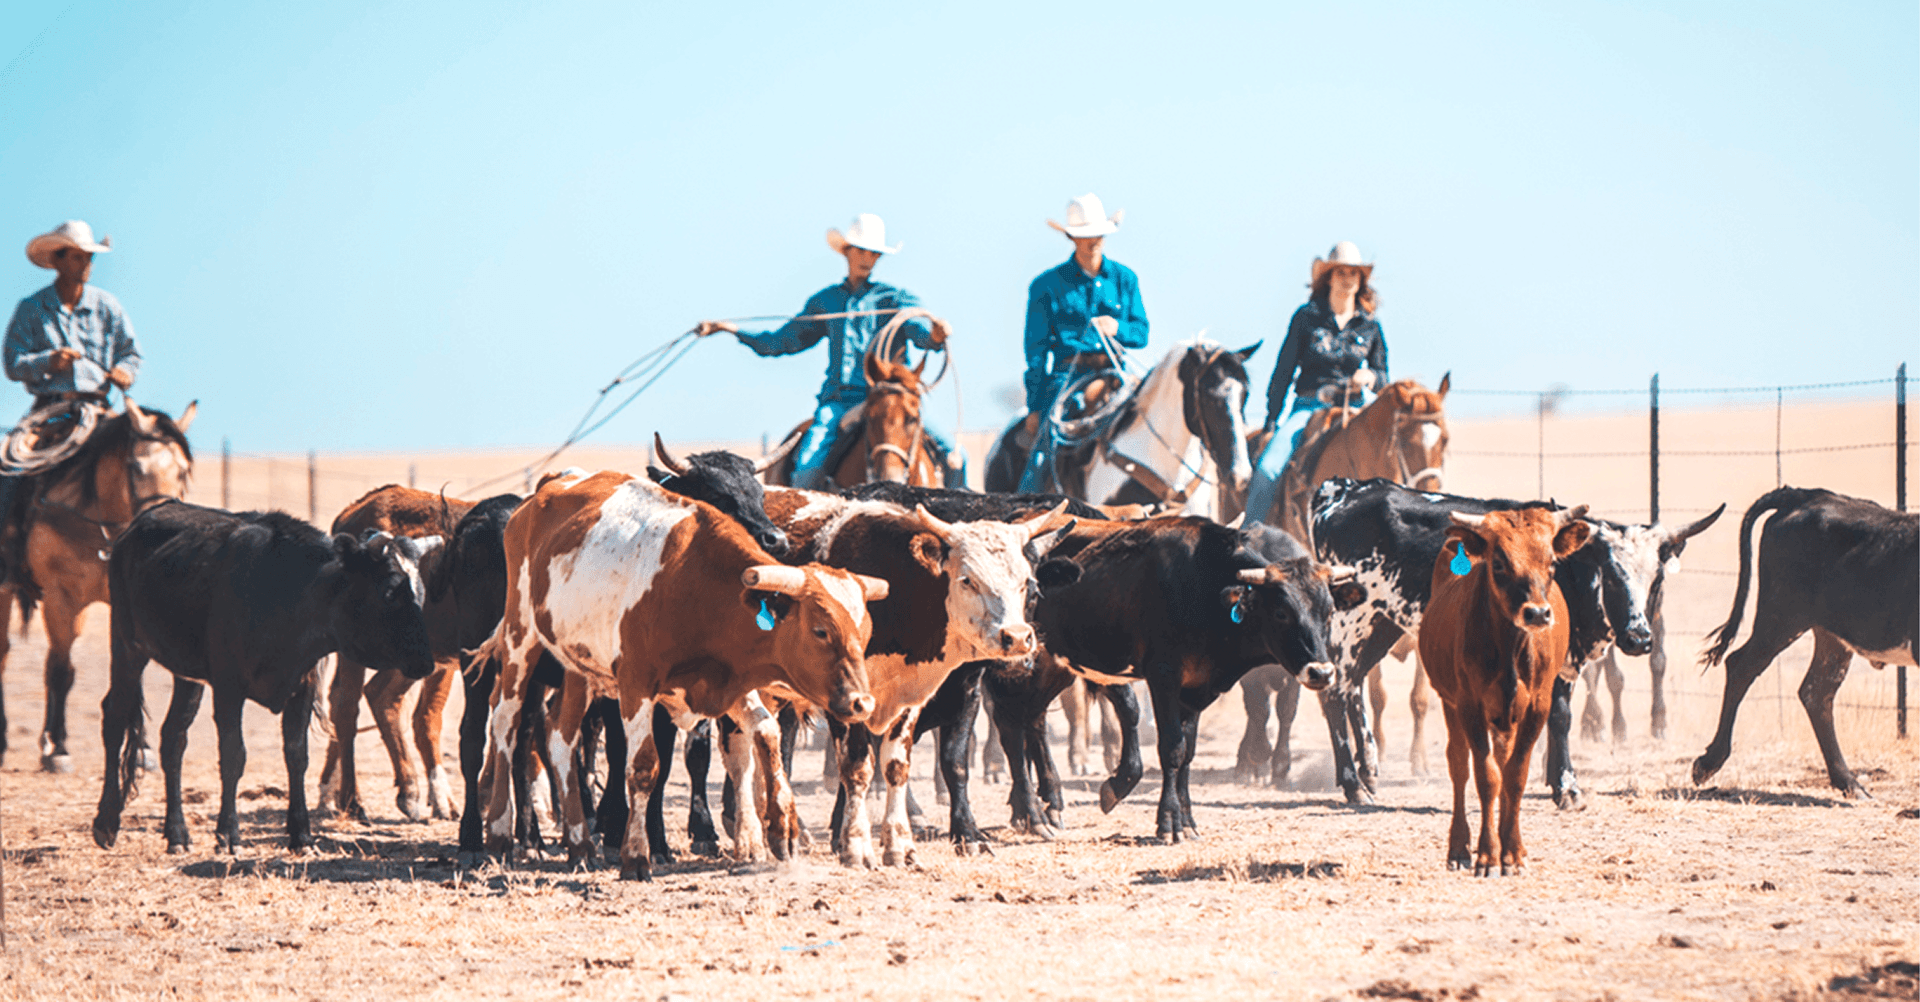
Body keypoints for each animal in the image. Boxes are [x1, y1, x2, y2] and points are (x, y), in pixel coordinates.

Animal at [92, 500, 437, 853]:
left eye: (421, 593)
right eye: (390, 592)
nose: (425, 663)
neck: (290, 595)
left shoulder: (303, 688)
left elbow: (297, 756)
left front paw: (301, 834)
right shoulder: (228, 688)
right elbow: (233, 755)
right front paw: (228, 833)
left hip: (186, 676)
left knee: (173, 738)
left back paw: (177, 834)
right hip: (127, 646)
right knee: (115, 718)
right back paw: (106, 823)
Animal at [473, 469, 888, 880]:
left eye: (865, 632)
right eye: (821, 630)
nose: (862, 703)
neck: (694, 586)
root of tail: (541, 494)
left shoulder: (729, 681)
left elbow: (767, 734)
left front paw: (782, 827)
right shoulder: (636, 685)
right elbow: (643, 768)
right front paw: (637, 856)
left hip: (576, 665)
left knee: (560, 737)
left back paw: (580, 845)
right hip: (521, 636)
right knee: (505, 723)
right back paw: (499, 837)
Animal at [1028, 515, 1345, 842]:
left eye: (1329, 612)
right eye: (1282, 612)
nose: (1321, 672)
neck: (1203, 589)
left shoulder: (1196, 690)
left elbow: (1188, 752)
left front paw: (1188, 820)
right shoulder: (1163, 679)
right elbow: (1172, 748)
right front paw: (1169, 821)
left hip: (1058, 667)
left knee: (1033, 719)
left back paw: (1050, 804)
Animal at [1418, 506, 1590, 875]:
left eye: (1551, 562)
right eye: (1498, 563)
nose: (1537, 613)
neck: (1510, 646)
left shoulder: (1537, 707)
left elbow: (1514, 775)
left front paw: (1512, 853)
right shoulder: (1468, 705)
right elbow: (1486, 777)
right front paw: (1486, 855)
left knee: (1502, 761)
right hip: (1450, 703)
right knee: (1459, 765)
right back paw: (1458, 848)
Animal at [1696, 486, 1919, 797]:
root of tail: (1805, 496)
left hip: (1829, 636)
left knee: (1816, 692)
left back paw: (1848, 782)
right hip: (1782, 615)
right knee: (1741, 666)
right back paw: (1708, 763)